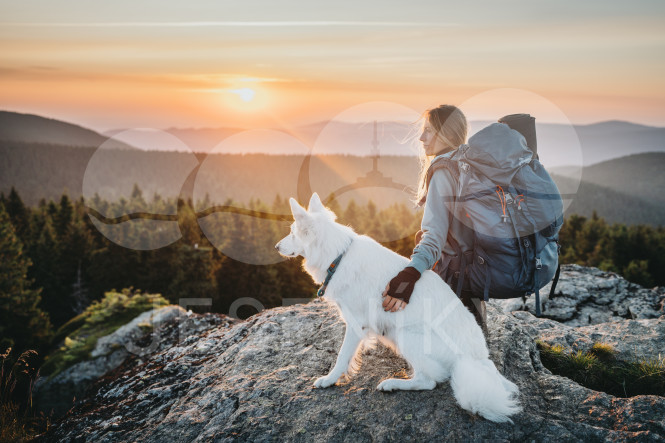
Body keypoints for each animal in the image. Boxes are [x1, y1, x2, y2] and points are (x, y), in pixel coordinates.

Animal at [274, 193, 520, 424]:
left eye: (292, 232)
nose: (276, 246)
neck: (337, 256)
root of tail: (474, 359)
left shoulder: (355, 324)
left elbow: (342, 356)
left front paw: (330, 379)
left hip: (406, 334)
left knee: (429, 381)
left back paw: (393, 383)